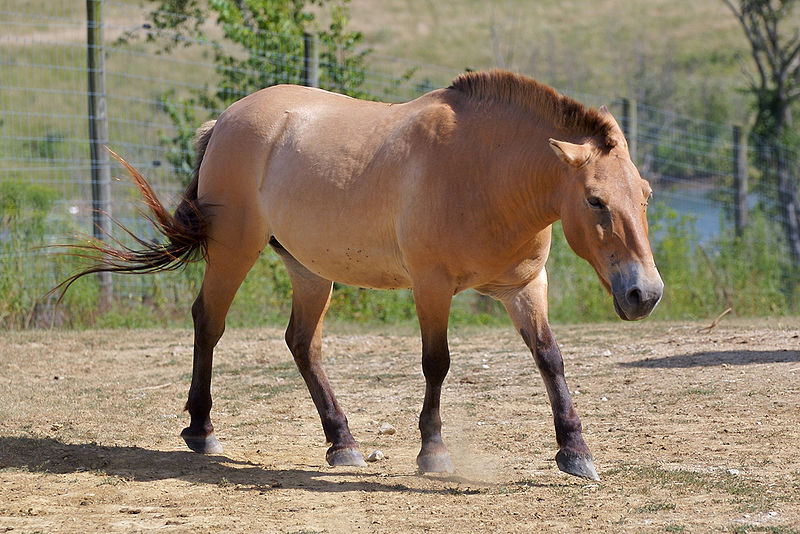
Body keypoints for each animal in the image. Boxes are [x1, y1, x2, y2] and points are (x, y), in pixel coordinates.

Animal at [59, 70, 664, 482]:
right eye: (595, 200)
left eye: (645, 194)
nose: (645, 293)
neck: (484, 172)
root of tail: (226, 120)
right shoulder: (431, 286)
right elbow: (437, 364)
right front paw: (433, 452)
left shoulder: (524, 287)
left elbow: (550, 358)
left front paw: (575, 451)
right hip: (235, 249)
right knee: (209, 321)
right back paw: (202, 431)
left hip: (308, 269)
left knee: (302, 344)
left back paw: (342, 442)